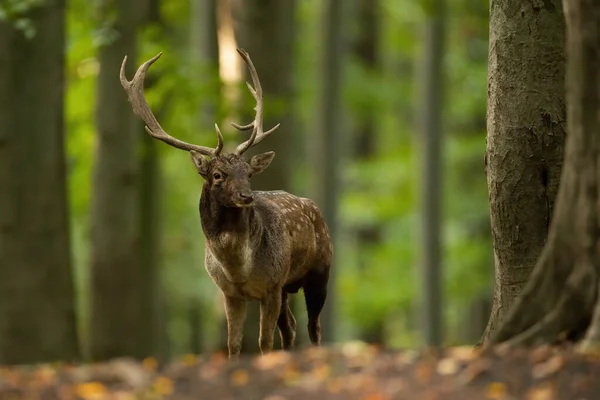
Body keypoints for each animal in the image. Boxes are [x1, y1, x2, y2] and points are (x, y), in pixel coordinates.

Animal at [117, 48, 332, 358]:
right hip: (288, 288)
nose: (247, 196)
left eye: (249, 173)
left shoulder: (272, 285)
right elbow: (233, 344)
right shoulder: (230, 293)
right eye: (218, 174)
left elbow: (264, 342)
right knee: (290, 327)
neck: (238, 269)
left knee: (314, 327)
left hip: (320, 271)